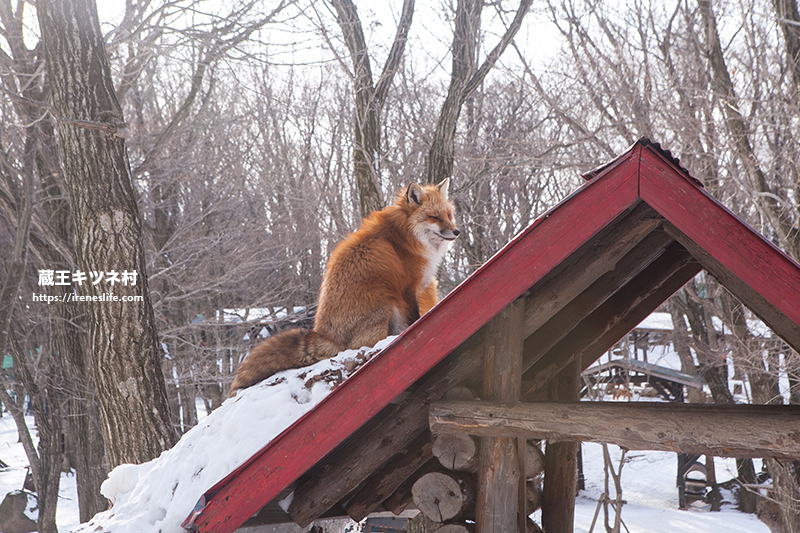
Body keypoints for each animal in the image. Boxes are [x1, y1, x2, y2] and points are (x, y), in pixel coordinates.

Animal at [228, 177, 460, 392]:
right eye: (434, 217)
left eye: (449, 215)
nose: (456, 232)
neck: (406, 235)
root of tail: (324, 335)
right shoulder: (408, 289)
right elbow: (415, 318)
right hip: (384, 301)